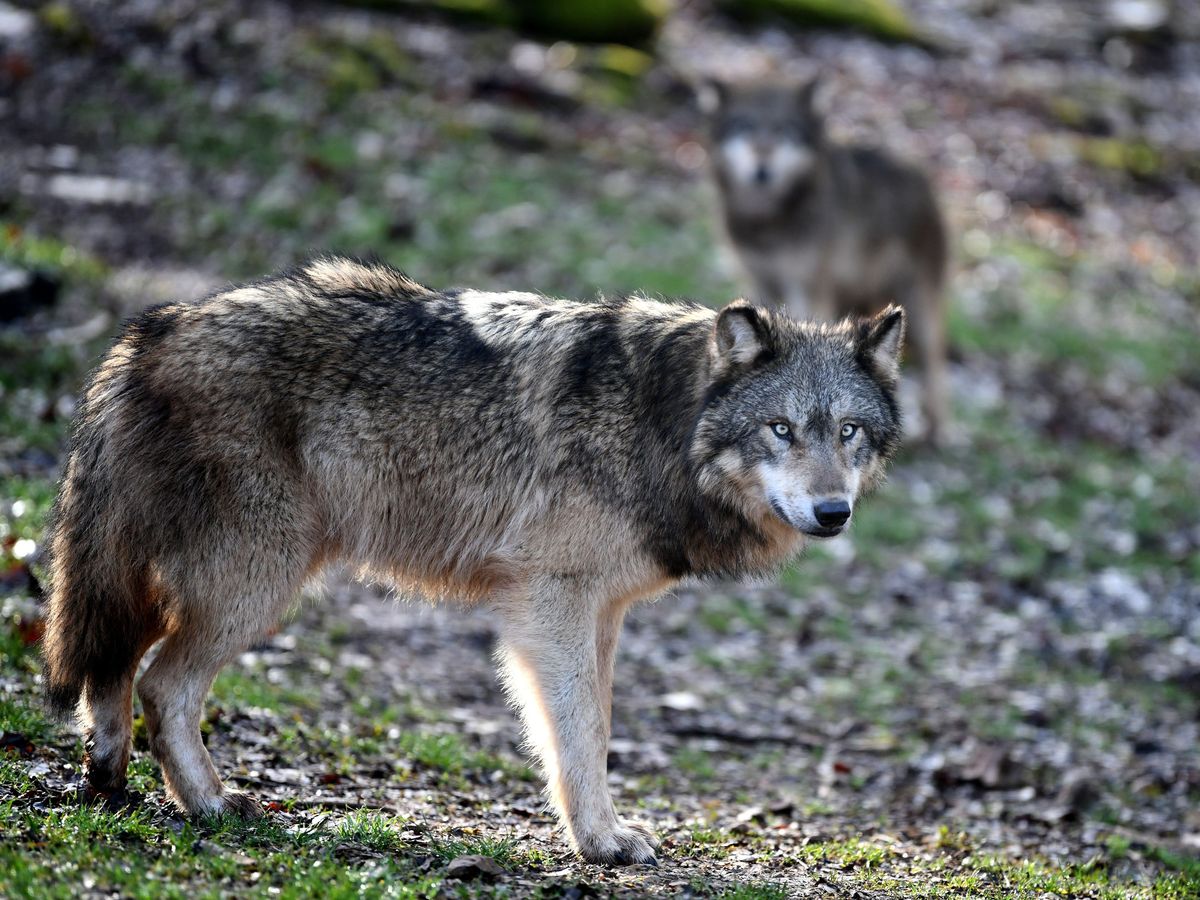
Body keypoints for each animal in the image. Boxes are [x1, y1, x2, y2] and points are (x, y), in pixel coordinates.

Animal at [44, 254, 907, 868]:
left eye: (849, 433)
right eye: (780, 430)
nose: (834, 513)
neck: (659, 422)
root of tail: (152, 330)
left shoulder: (598, 614)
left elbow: (588, 730)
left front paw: (597, 832)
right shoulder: (553, 602)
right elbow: (582, 729)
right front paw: (601, 843)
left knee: (112, 670)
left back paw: (110, 783)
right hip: (256, 584)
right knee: (161, 684)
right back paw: (215, 807)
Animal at [700, 76, 945, 444]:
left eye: (784, 130)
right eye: (744, 127)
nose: (762, 170)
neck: (770, 220)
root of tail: (921, 174)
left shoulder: (809, 288)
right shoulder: (759, 281)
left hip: (919, 305)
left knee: (935, 365)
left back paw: (938, 433)